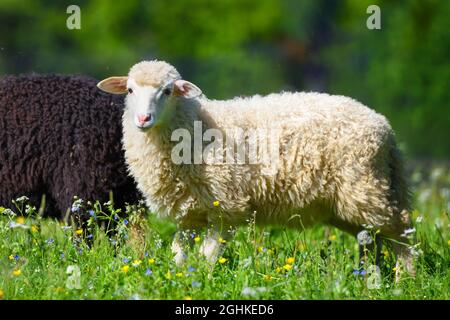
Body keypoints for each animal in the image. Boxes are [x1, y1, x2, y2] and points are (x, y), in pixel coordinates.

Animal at [97, 60, 414, 280]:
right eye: (130, 90)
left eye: (167, 91)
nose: (143, 119)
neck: (193, 123)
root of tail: (385, 128)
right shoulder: (190, 213)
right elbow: (179, 253)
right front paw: (176, 280)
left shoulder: (226, 207)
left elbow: (209, 255)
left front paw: (204, 282)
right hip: (349, 204)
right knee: (370, 240)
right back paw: (368, 279)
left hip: (368, 188)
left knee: (402, 233)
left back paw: (405, 281)